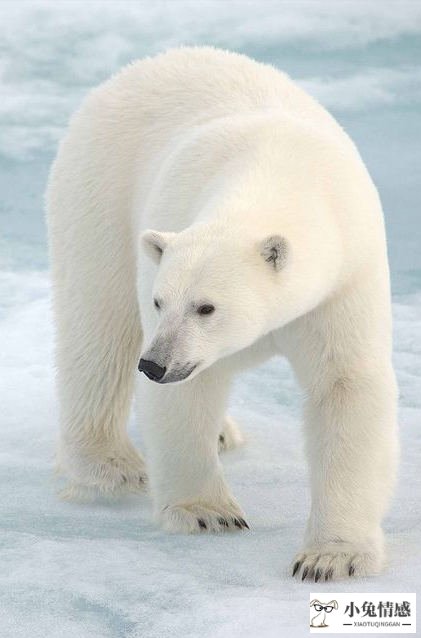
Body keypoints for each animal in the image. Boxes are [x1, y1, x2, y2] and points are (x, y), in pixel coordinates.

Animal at [46, 46, 398, 584]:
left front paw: (329, 557)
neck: (276, 170)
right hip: (99, 190)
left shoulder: (343, 278)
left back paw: (221, 431)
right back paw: (111, 466)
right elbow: (187, 393)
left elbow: (345, 385)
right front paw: (207, 512)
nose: (155, 364)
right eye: (160, 301)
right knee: (99, 325)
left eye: (207, 306)